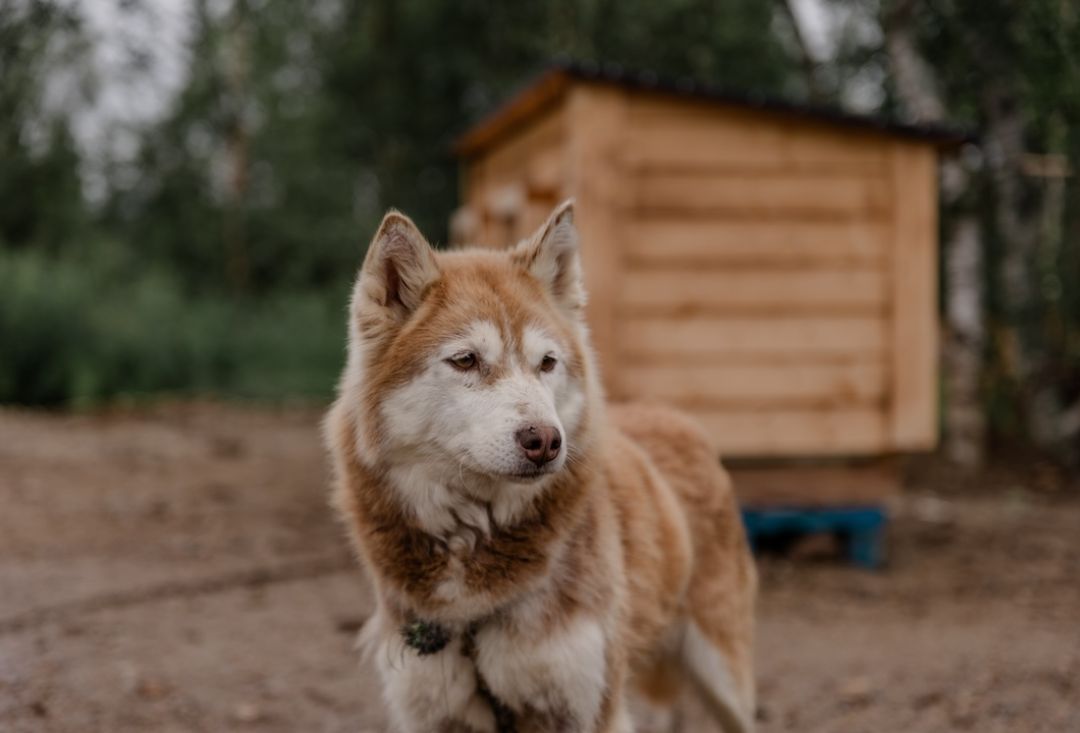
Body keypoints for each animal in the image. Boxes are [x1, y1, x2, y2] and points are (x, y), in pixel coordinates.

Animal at [324, 200, 756, 733]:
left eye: (547, 363)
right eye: (465, 360)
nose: (547, 441)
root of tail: (676, 417)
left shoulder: (587, 705)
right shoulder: (428, 710)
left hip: (723, 674)